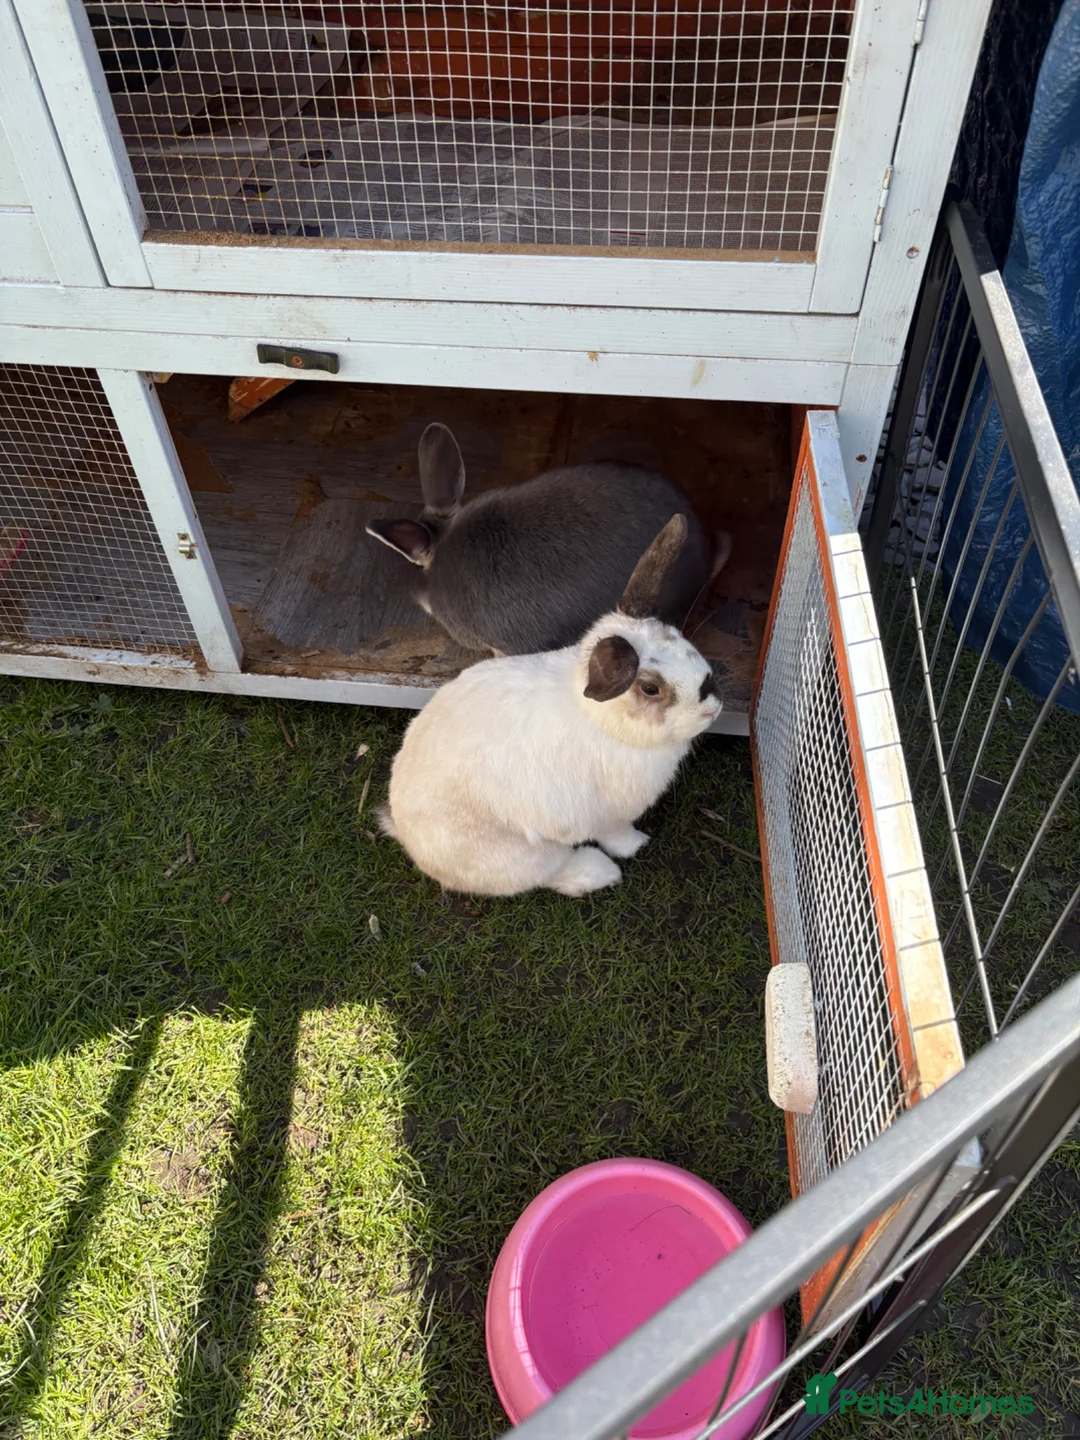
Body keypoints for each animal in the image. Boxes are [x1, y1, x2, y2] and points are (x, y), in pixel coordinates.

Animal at [378, 514, 721, 897]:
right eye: (650, 688)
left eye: (680, 637)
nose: (712, 704)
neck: (602, 720)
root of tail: (412, 842)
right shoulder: (609, 817)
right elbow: (617, 835)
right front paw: (637, 845)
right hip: (530, 855)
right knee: (551, 874)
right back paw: (600, 873)